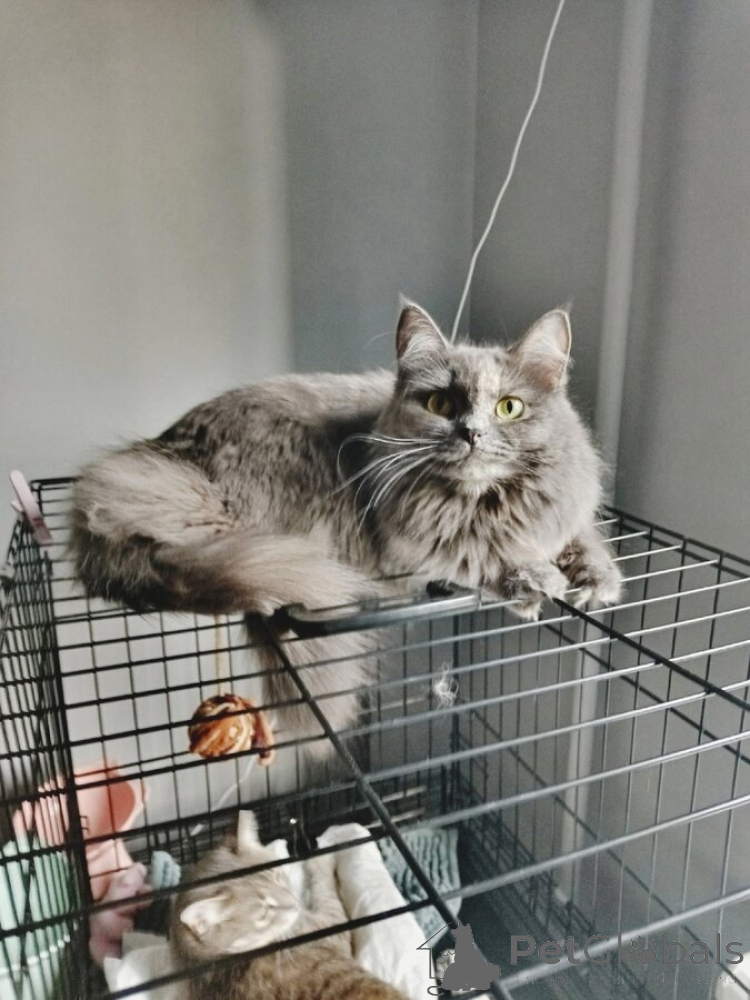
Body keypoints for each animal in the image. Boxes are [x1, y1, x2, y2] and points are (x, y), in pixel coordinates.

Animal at [70, 302, 621, 744]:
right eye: (440, 404)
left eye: (509, 407)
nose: (471, 434)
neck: (482, 503)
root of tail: (164, 450)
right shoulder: (414, 553)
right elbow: (482, 557)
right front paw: (534, 579)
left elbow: (581, 539)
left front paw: (598, 578)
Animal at [171, 813, 407, 999]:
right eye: (265, 911)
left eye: (278, 876)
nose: (295, 904)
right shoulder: (331, 923)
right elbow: (324, 885)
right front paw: (319, 857)